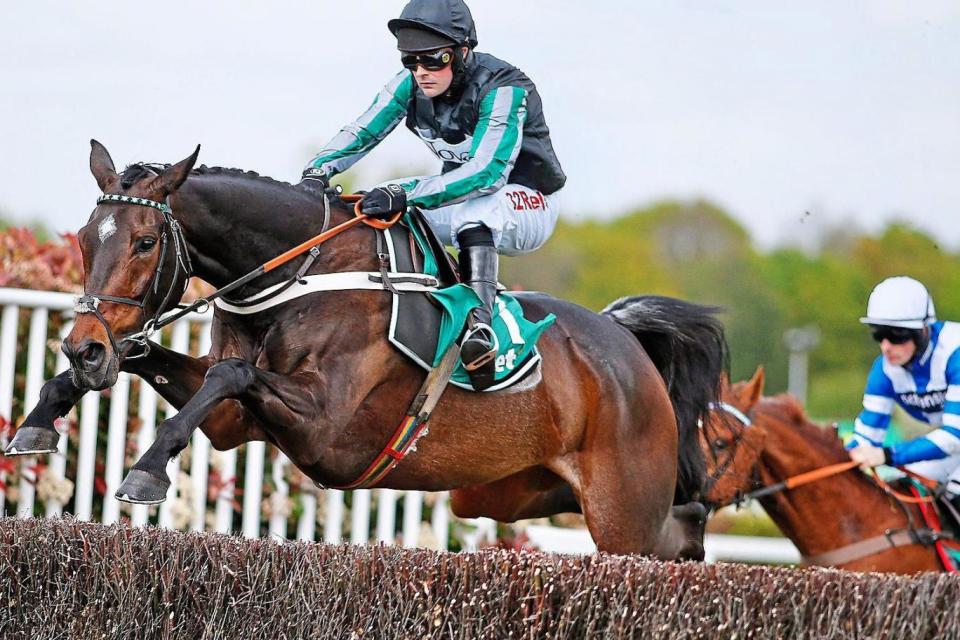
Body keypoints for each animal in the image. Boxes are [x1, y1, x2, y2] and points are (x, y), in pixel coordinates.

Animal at [1, 142, 728, 556]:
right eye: (85, 239)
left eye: (147, 241)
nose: (85, 347)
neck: (303, 274)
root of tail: (625, 342)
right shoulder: (235, 423)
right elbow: (187, 371)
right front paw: (40, 419)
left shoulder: (327, 428)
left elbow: (230, 372)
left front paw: (147, 468)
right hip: (501, 495)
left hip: (621, 510)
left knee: (665, 536)